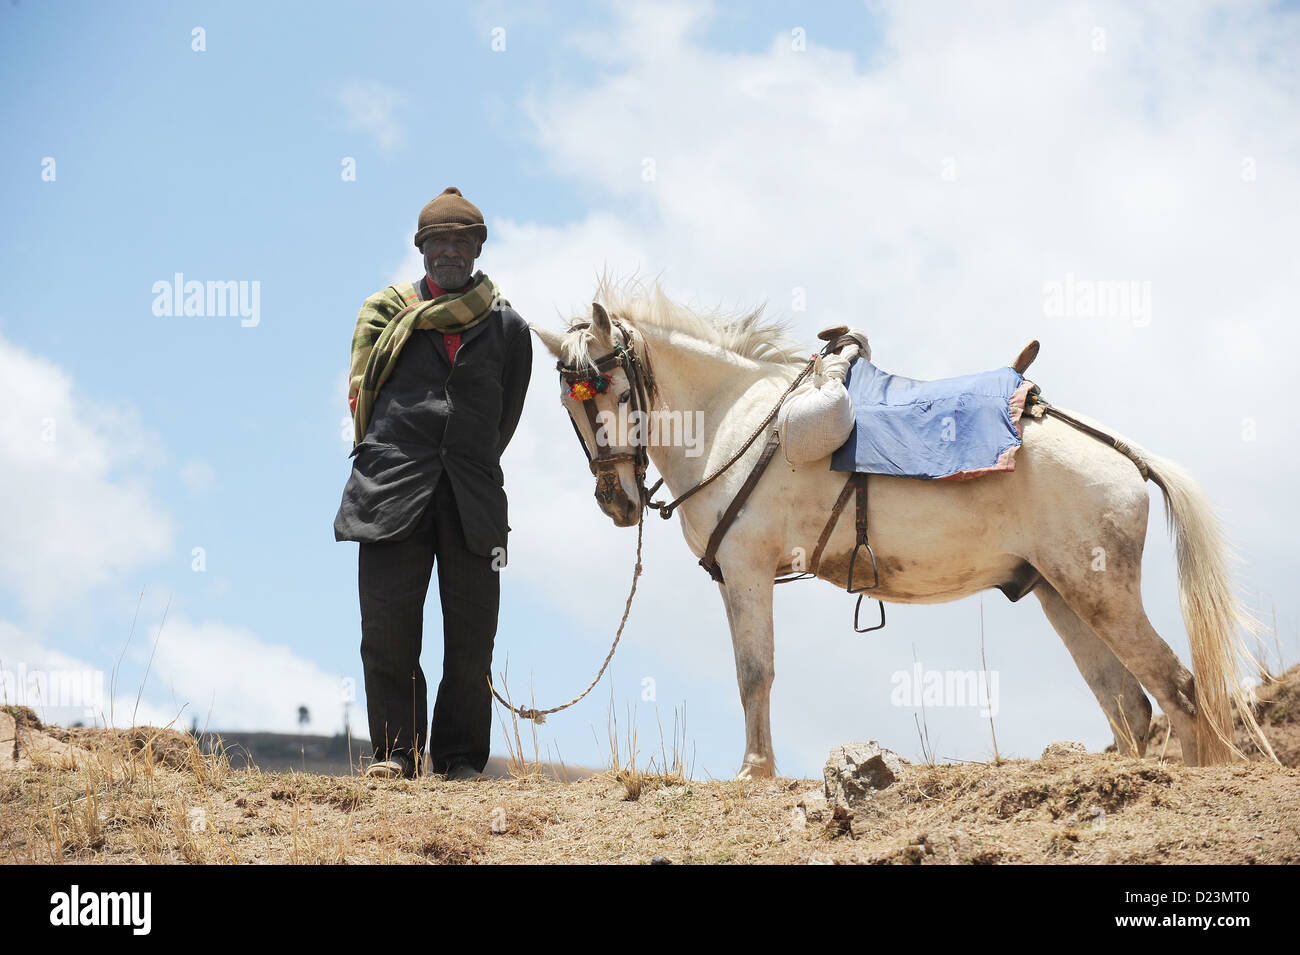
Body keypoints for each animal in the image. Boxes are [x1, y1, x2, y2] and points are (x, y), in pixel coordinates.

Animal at [530, 280, 1273, 777]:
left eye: (613, 389)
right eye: (569, 401)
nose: (615, 501)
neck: (732, 418)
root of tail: (1122, 453)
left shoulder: (746, 571)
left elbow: (753, 673)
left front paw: (754, 771)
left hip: (1102, 595)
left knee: (1178, 690)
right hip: (1060, 592)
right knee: (1128, 704)